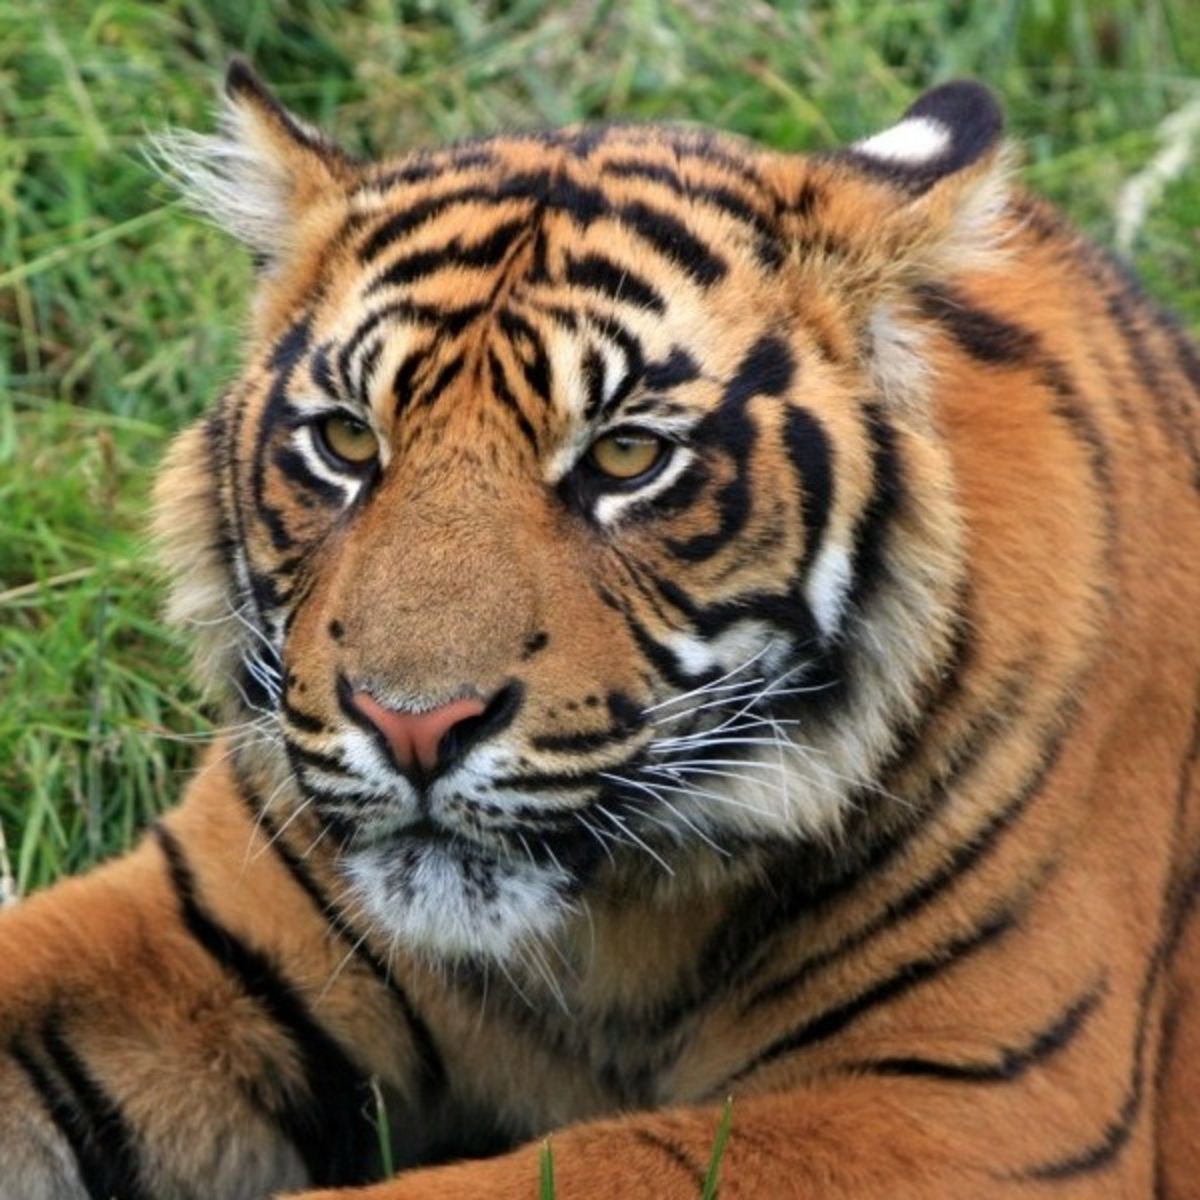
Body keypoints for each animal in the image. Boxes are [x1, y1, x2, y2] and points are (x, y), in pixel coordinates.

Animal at [2, 58, 1200, 1200]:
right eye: (345, 441)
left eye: (627, 456)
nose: (412, 727)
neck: (598, 937)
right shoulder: (196, 931)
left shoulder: (956, 1112)